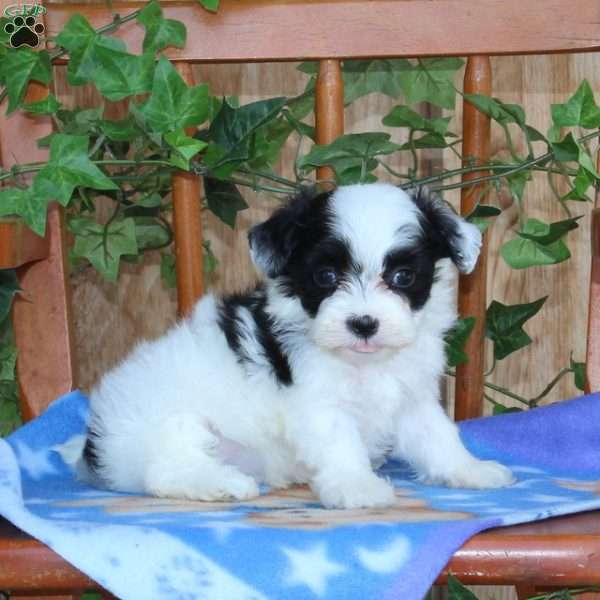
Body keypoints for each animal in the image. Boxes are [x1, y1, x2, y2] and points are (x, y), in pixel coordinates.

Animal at [77, 182, 512, 506]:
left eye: (403, 277)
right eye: (325, 276)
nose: (363, 323)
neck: (365, 364)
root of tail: (94, 445)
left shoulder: (412, 396)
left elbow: (437, 436)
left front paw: (469, 470)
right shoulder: (319, 402)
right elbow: (340, 442)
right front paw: (357, 486)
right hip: (168, 421)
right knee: (165, 469)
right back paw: (224, 484)